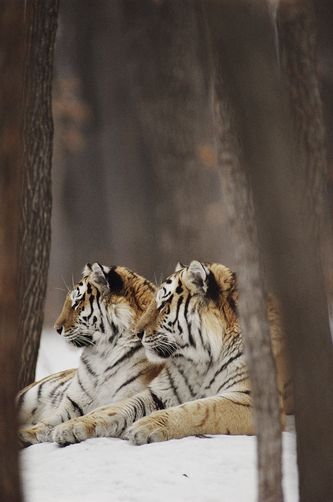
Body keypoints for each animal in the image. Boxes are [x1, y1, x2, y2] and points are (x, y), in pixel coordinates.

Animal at [50, 260, 292, 446]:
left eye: (163, 305)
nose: (138, 332)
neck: (201, 361)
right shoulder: (159, 392)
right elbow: (117, 408)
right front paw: (71, 426)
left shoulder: (250, 400)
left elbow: (199, 409)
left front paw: (146, 425)